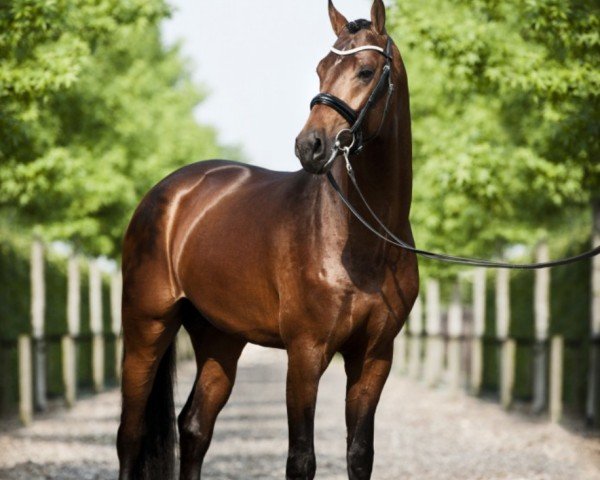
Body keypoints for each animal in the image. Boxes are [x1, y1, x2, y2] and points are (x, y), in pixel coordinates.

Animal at [117, 1, 418, 478]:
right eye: (321, 68)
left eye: (366, 71)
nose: (310, 145)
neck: (362, 240)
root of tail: (165, 194)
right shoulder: (305, 353)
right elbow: (301, 459)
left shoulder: (374, 357)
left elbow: (359, 454)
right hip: (146, 326)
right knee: (130, 434)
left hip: (220, 338)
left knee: (195, 426)